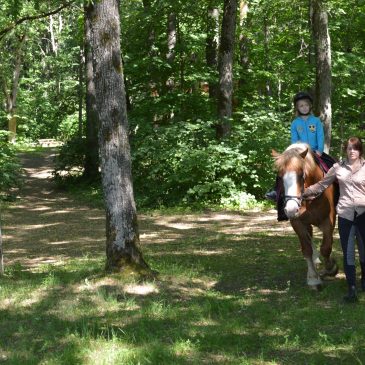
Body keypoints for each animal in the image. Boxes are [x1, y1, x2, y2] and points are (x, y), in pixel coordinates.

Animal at [270, 144, 338, 288]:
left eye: (301, 175)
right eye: (279, 177)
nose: (291, 209)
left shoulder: (328, 220)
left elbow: (326, 248)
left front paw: (331, 268)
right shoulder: (297, 223)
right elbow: (306, 250)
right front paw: (313, 278)